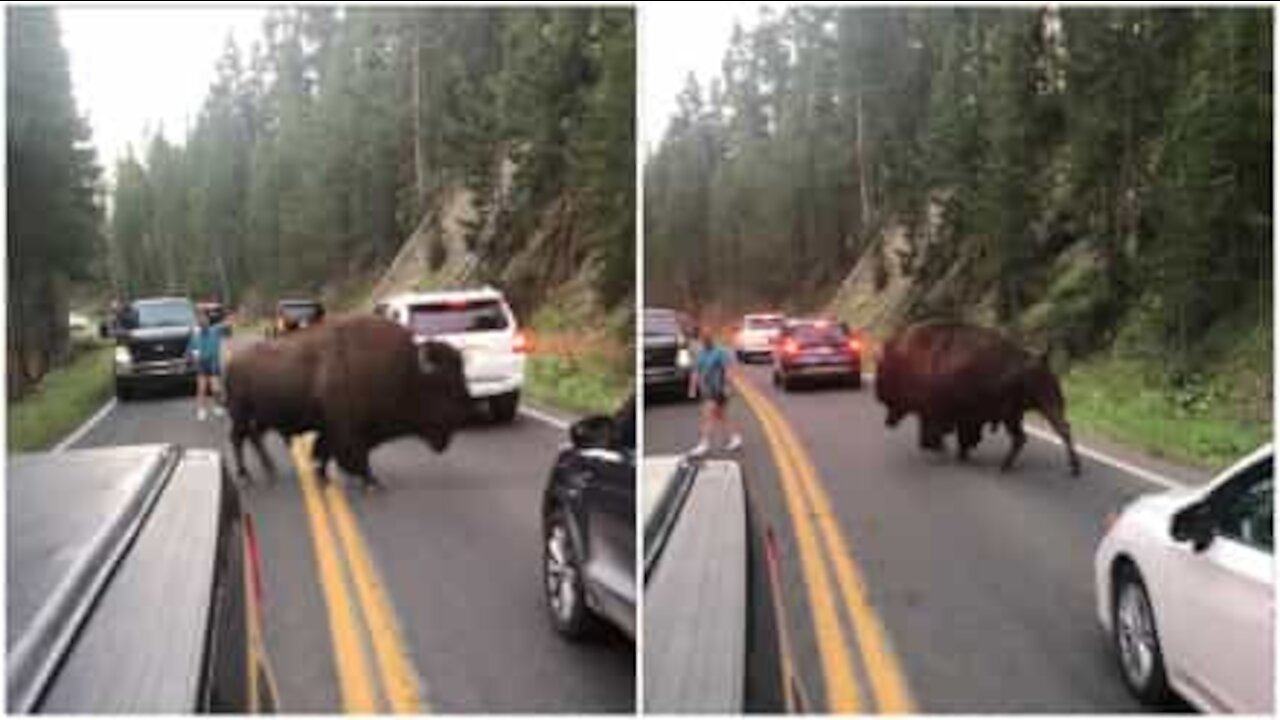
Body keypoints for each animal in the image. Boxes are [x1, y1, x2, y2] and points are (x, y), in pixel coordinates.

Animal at [227, 313, 473, 486]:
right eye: (443, 385)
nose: (461, 415)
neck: (405, 371)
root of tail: (232, 363)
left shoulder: (334, 428)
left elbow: (324, 451)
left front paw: (323, 476)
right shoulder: (347, 428)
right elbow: (352, 454)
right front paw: (372, 482)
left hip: (262, 418)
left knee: (254, 437)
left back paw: (270, 470)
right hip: (241, 414)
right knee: (238, 438)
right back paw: (245, 476)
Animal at [870, 319, 1080, 476]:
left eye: (884, 373)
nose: (879, 396)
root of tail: (1040, 360)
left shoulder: (941, 413)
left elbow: (937, 435)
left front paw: (946, 449)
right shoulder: (955, 416)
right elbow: (956, 436)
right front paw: (957, 451)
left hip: (1023, 412)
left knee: (1034, 435)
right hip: (1037, 408)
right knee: (1054, 431)